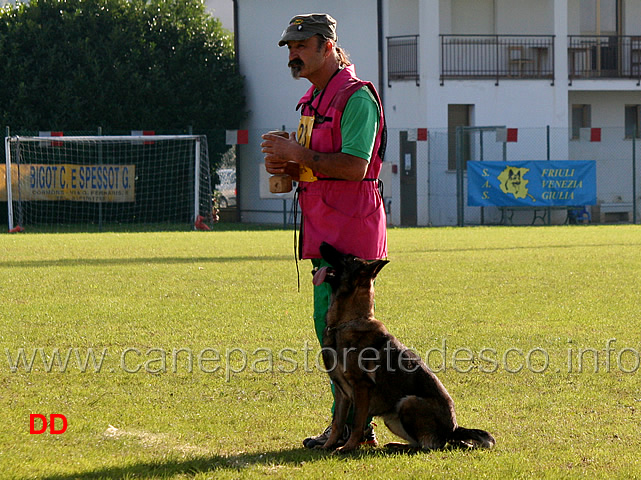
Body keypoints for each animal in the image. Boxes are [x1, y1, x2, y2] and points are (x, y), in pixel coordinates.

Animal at [312, 244, 496, 454]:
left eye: (348, 257)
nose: (322, 244)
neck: (345, 323)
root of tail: (454, 429)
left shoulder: (361, 388)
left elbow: (357, 423)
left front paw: (348, 447)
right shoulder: (342, 393)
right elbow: (337, 423)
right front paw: (328, 445)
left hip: (408, 402)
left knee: (429, 446)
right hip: (392, 418)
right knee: (422, 442)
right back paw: (397, 445)